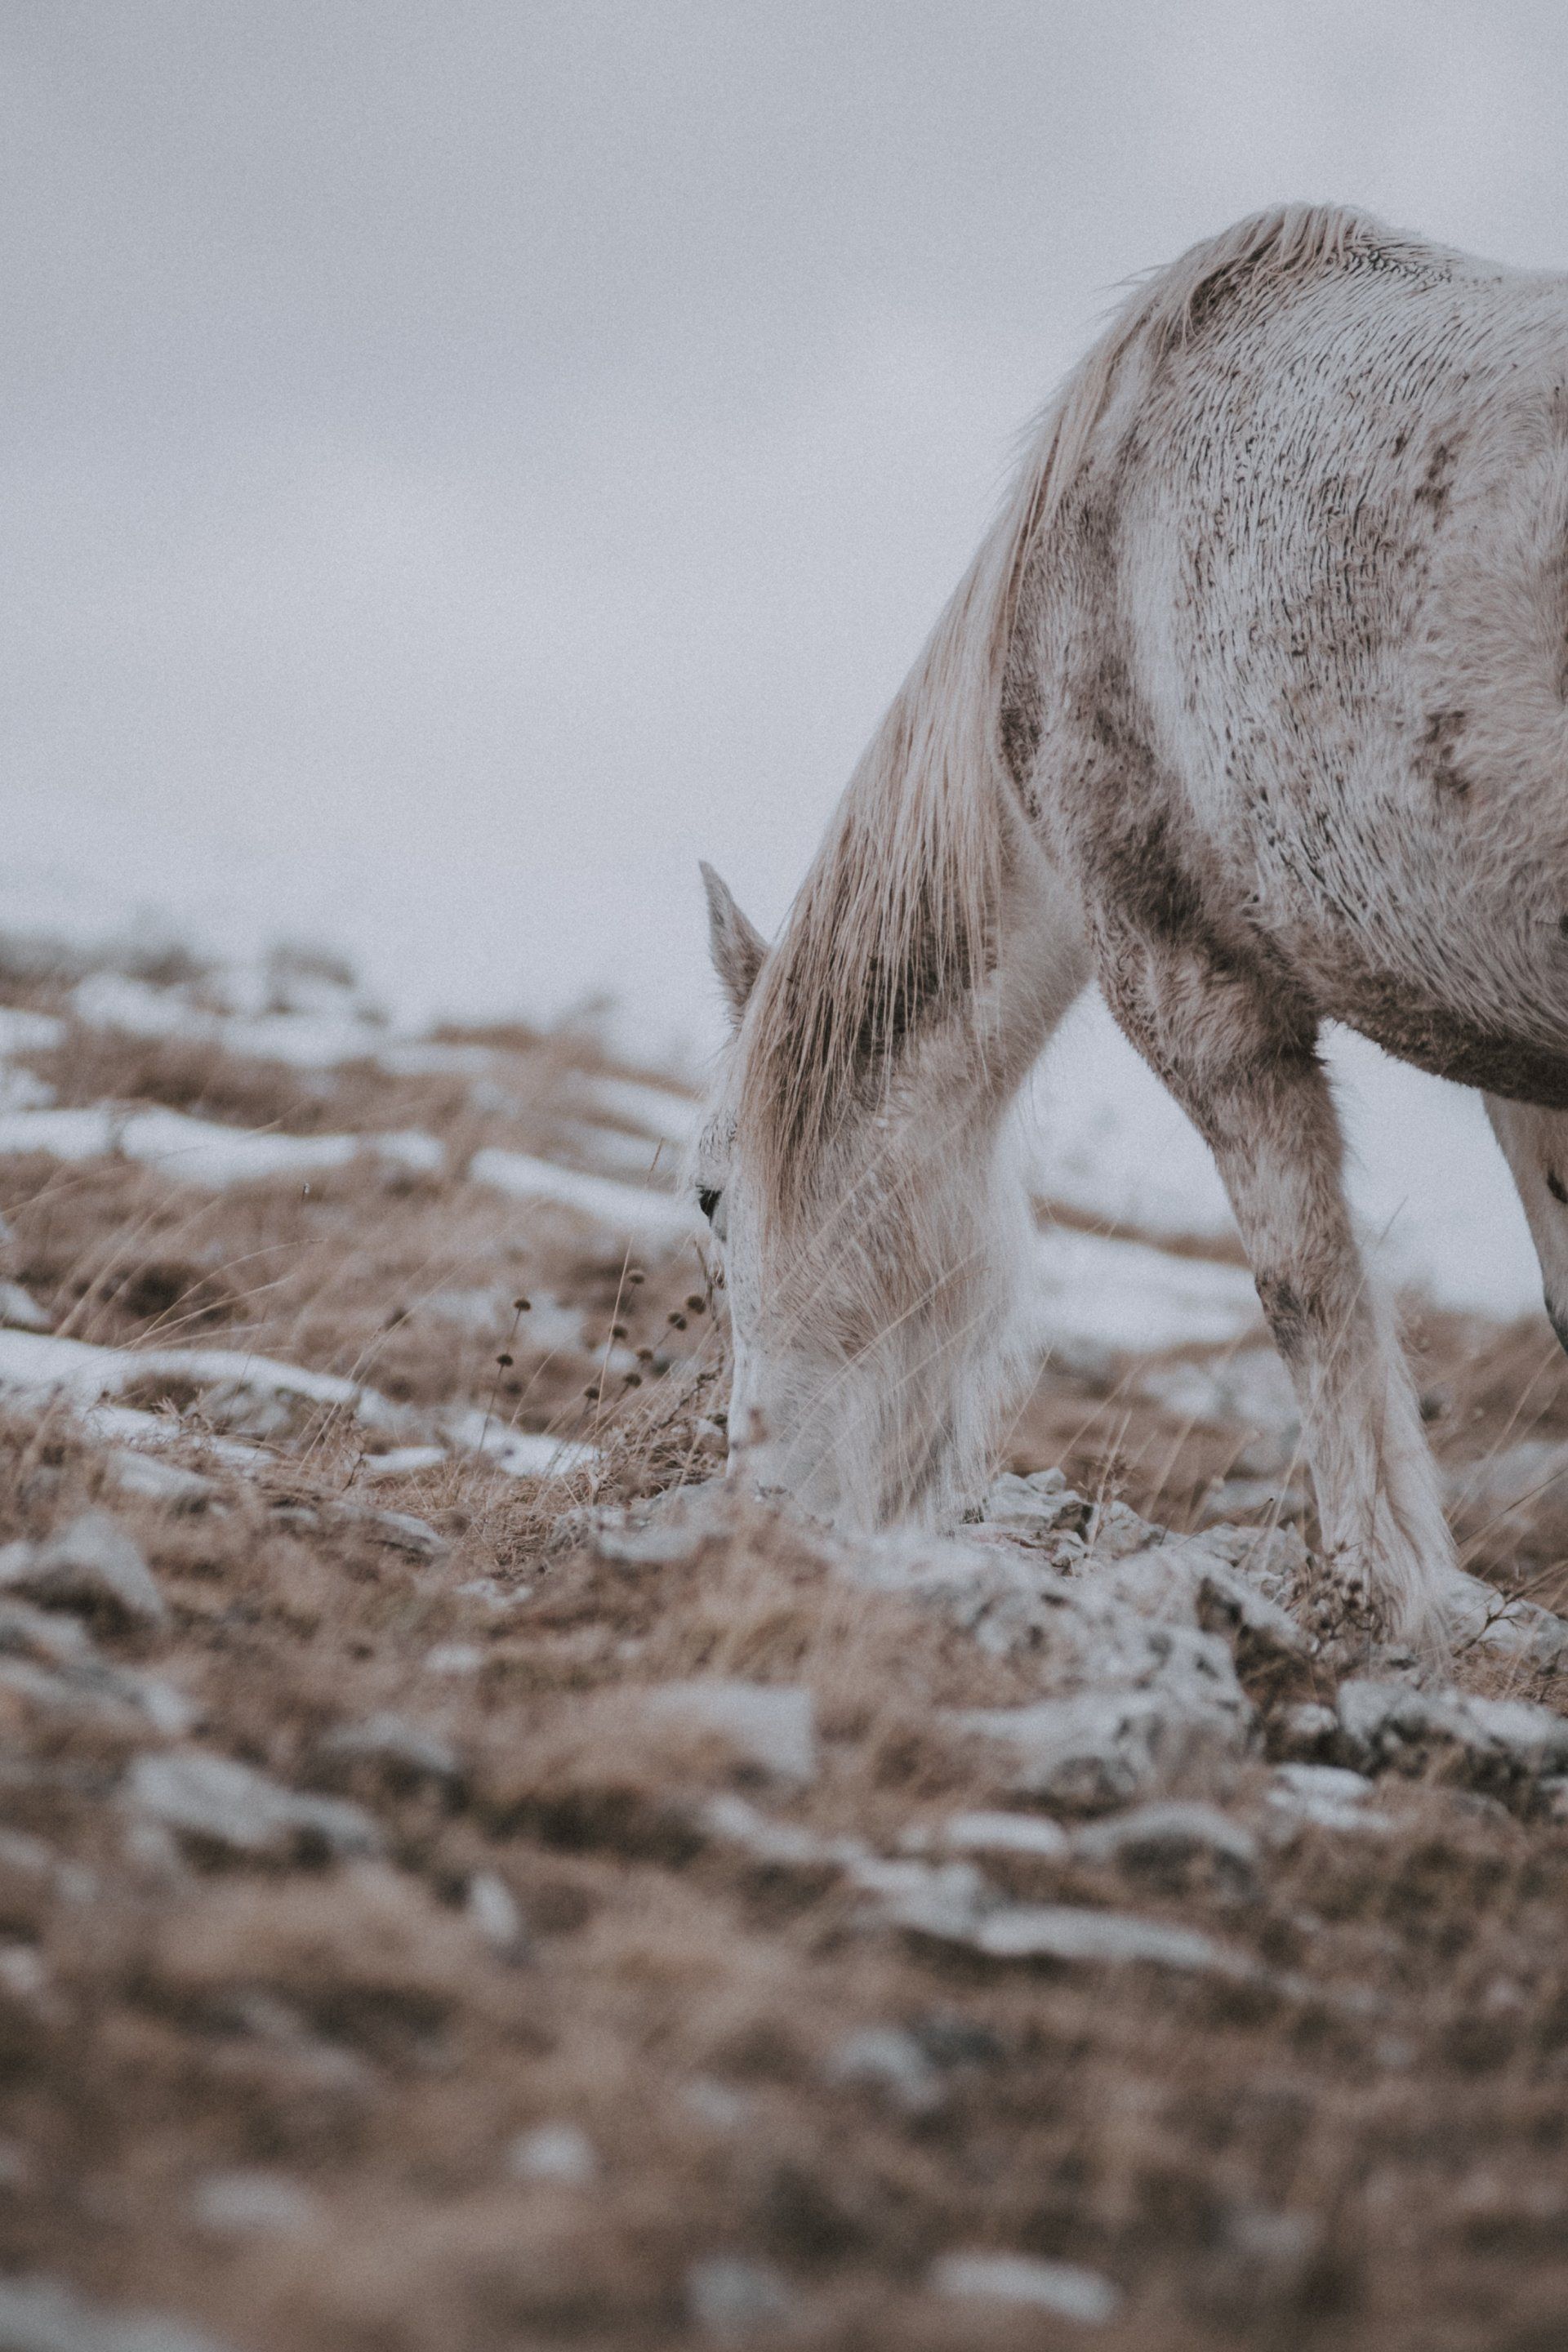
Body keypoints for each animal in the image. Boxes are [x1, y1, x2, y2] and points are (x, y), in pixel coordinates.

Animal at [692, 203, 1568, 1656]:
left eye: (709, 1196)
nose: (753, 1502)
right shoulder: (1510, 1051)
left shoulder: (1191, 979)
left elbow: (1306, 1291)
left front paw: (1392, 1593)